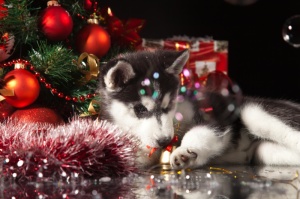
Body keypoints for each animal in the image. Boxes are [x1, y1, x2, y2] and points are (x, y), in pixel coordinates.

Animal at [98, 49, 300, 169]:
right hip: (265, 152)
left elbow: (200, 131)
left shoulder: (215, 115)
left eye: (169, 104)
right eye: (140, 109)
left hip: (254, 113)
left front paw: (184, 152)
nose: (165, 141)